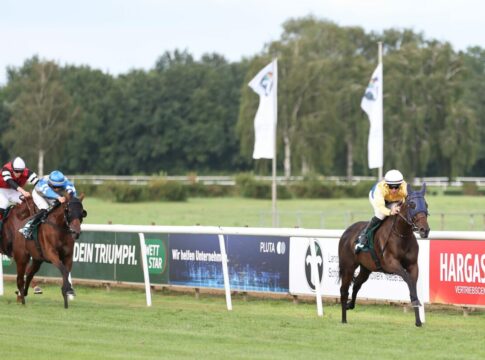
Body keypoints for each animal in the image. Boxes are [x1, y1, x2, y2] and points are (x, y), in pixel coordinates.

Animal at [338, 184, 430, 328]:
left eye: (426, 204)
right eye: (412, 204)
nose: (424, 230)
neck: (401, 235)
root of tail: (346, 232)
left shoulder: (413, 265)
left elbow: (413, 286)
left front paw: (418, 321)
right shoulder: (391, 264)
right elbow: (408, 280)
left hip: (366, 268)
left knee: (357, 284)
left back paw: (350, 305)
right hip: (348, 267)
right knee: (343, 290)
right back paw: (343, 319)